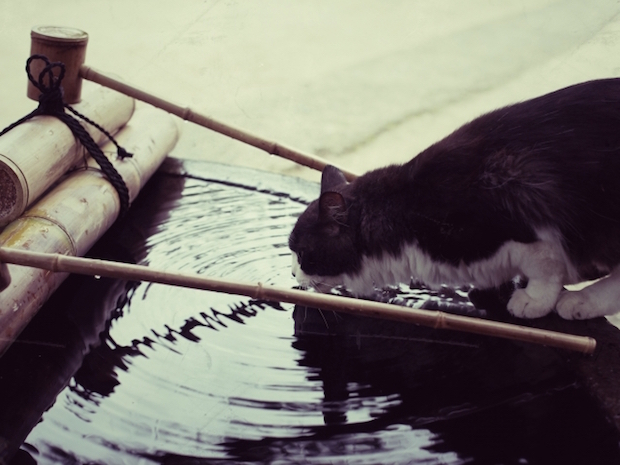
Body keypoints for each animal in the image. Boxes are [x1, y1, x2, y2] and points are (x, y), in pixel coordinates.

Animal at [286, 79, 620, 320]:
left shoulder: (523, 222)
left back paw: (577, 300)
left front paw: (533, 300)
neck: (408, 206)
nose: (291, 273)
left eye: (303, 254)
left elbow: (546, 267)